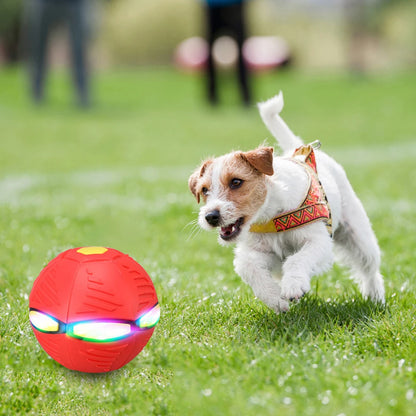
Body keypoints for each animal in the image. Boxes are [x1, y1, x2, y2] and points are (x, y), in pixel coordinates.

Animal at [188, 92, 384, 312]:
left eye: (236, 182)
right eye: (204, 190)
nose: (210, 216)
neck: (271, 215)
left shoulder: (318, 242)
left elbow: (297, 259)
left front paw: (293, 286)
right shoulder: (261, 252)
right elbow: (248, 267)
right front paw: (275, 299)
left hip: (359, 236)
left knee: (370, 268)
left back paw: (375, 297)